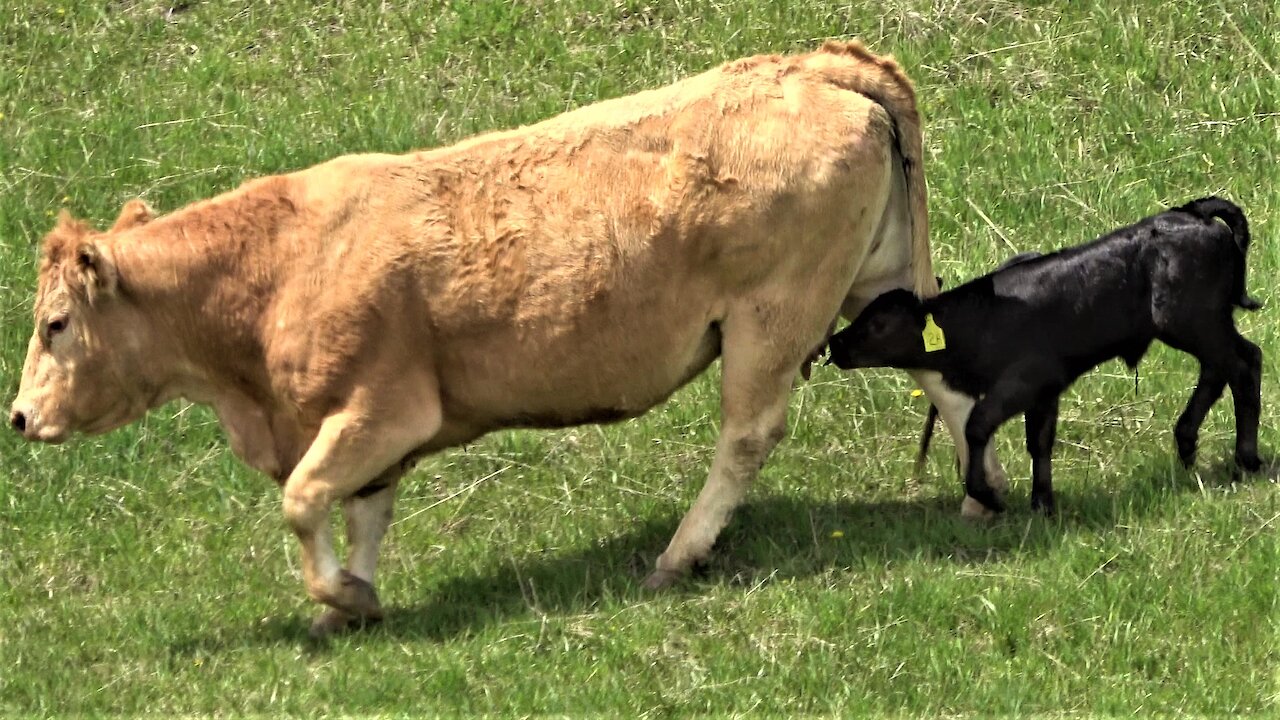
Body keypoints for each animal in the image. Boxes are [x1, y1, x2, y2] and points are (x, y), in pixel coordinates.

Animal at [12, 41, 1008, 630]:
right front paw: (351, 605)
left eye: (55, 324)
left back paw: (677, 556)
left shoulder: (382, 408)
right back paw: (980, 501)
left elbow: (303, 498)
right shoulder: (370, 431)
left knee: (748, 435)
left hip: (773, 316)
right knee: (947, 377)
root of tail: (818, 62)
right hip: (875, 286)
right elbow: (361, 509)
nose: (19, 417)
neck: (277, 264)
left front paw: (341, 595)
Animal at [829, 196, 1259, 515]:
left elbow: (977, 427)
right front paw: (1043, 502)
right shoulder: (1045, 391)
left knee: (1243, 363)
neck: (981, 319)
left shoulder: (1023, 381)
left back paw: (1246, 460)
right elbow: (1039, 443)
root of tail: (1192, 213)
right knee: (1222, 367)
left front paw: (988, 496)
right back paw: (1187, 443)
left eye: (878, 324)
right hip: (1204, 325)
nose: (835, 344)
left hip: (1193, 321)